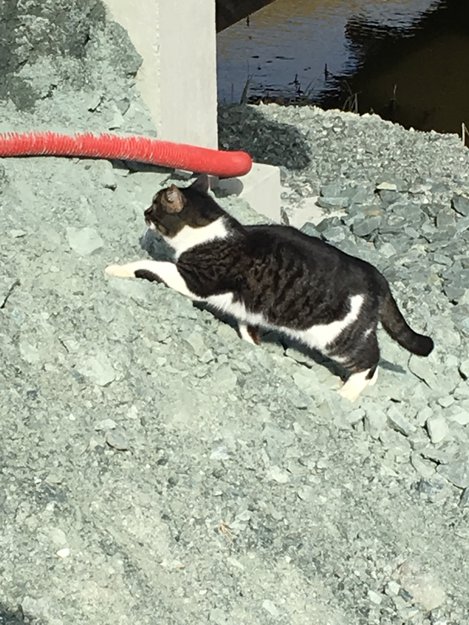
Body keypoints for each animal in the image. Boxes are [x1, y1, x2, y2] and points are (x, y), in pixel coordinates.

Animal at [105, 175, 434, 401]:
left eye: (154, 206)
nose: (144, 212)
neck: (207, 234)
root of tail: (377, 275)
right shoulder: (247, 305)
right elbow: (246, 324)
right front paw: (253, 344)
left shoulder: (194, 279)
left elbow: (150, 266)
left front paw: (116, 269)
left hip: (336, 335)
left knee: (369, 360)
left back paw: (347, 394)